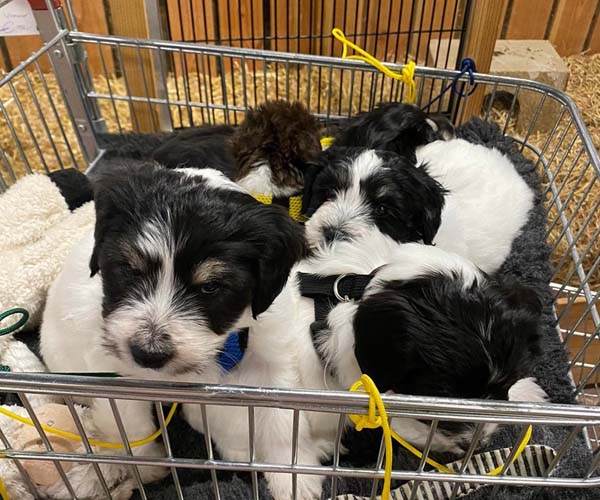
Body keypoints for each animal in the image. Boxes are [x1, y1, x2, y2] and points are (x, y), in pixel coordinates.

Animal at [40, 162, 306, 484]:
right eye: (130, 270)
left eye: (210, 287)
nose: (148, 354)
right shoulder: (113, 371)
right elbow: (129, 424)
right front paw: (149, 467)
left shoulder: (271, 352)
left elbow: (283, 421)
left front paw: (294, 482)